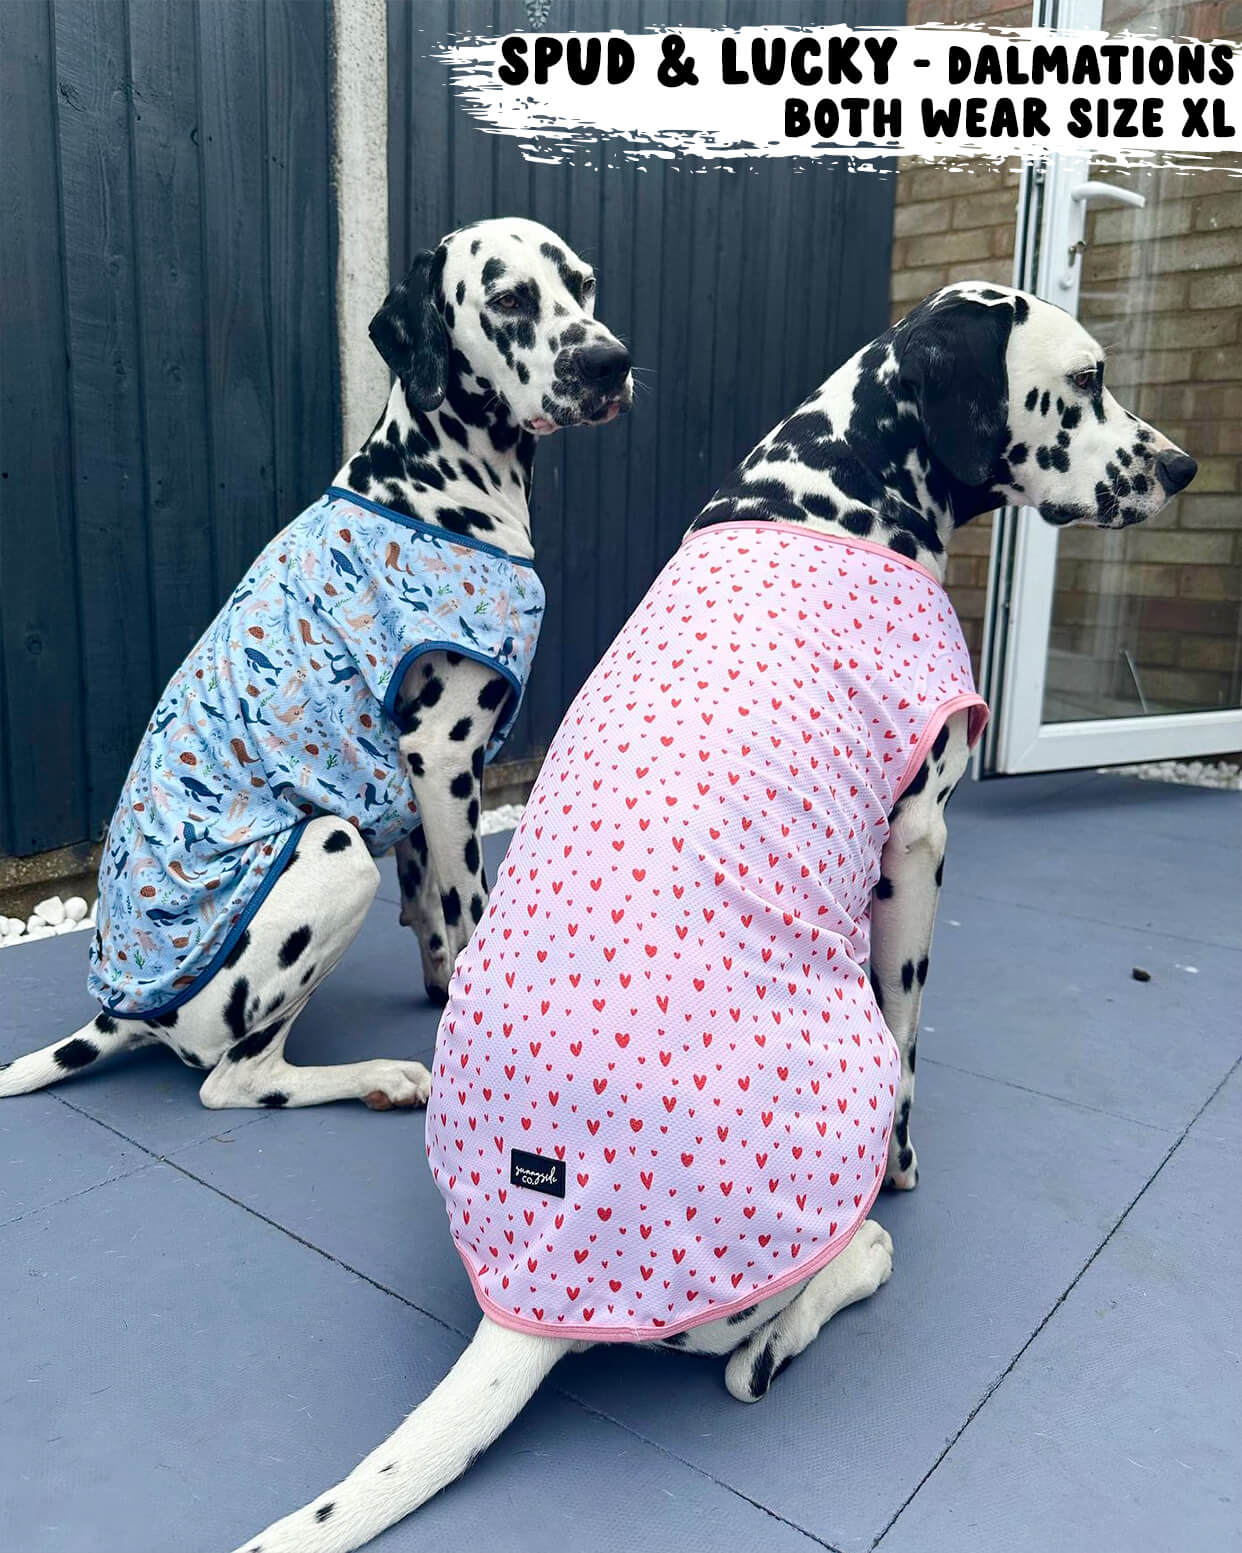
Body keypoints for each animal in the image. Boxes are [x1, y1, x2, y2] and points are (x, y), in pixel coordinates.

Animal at [0, 218, 630, 1118]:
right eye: (510, 297)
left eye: (583, 284)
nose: (610, 361)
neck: (433, 482)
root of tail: (120, 1012)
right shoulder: (443, 756)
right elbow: (469, 907)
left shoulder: (410, 778)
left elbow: (432, 916)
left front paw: (446, 998)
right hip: (331, 849)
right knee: (236, 1080)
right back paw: (380, 1077)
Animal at [232, 282, 1192, 1553]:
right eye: (1086, 379)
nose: (1183, 467)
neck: (834, 488)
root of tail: (530, 1302)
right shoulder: (917, 843)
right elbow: (915, 1044)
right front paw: (906, 1172)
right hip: (837, 1085)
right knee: (757, 1345)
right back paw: (847, 1267)